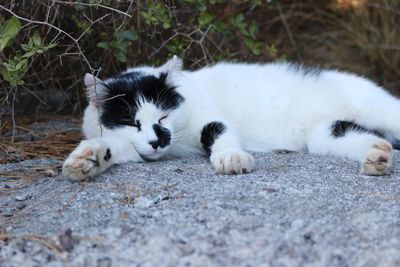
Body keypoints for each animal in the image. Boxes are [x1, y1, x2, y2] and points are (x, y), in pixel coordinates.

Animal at [61, 56, 396, 182]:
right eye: (133, 123)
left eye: (164, 116)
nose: (157, 141)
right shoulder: (133, 147)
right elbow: (113, 147)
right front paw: (87, 159)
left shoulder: (207, 118)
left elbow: (219, 132)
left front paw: (231, 158)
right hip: (324, 133)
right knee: (364, 137)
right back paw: (376, 156)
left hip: (376, 108)